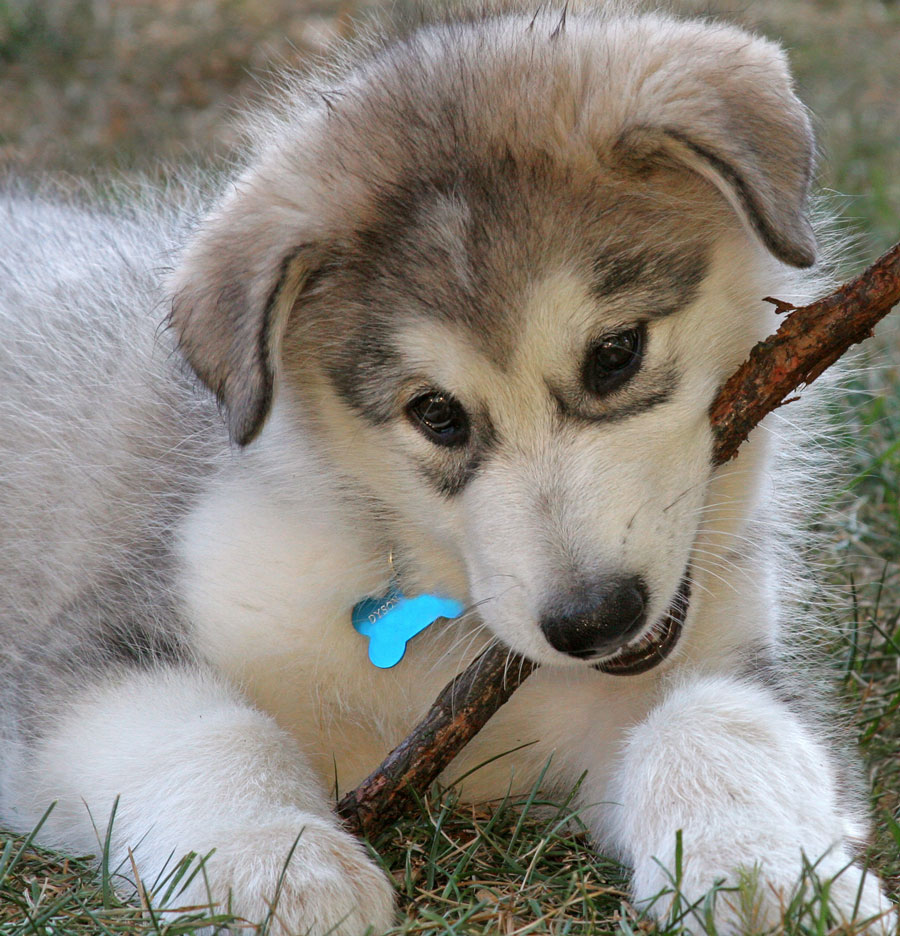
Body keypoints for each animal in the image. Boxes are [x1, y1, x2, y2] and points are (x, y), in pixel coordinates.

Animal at [0, 3, 892, 932]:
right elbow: (210, 732)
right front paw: (279, 867)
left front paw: (769, 874)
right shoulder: (96, 648)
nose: (593, 620)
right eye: (436, 414)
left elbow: (718, 723)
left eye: (615, 354)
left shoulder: (720, 664)